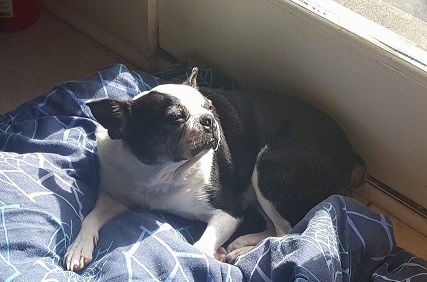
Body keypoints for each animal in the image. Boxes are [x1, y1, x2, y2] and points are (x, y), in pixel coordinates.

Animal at [65, 67, 366, 270]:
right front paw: (78, 247)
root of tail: (352, 154)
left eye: (209, 107)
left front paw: (207, 258)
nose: (209, 119)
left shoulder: (227, 213)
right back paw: (242, 245)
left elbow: (199, 246)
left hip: (269, 169)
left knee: (286, 231)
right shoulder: (115, 196)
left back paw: (243, 253)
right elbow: (91, 216)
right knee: (275, 227)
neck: (159, 176)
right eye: (176, 118)